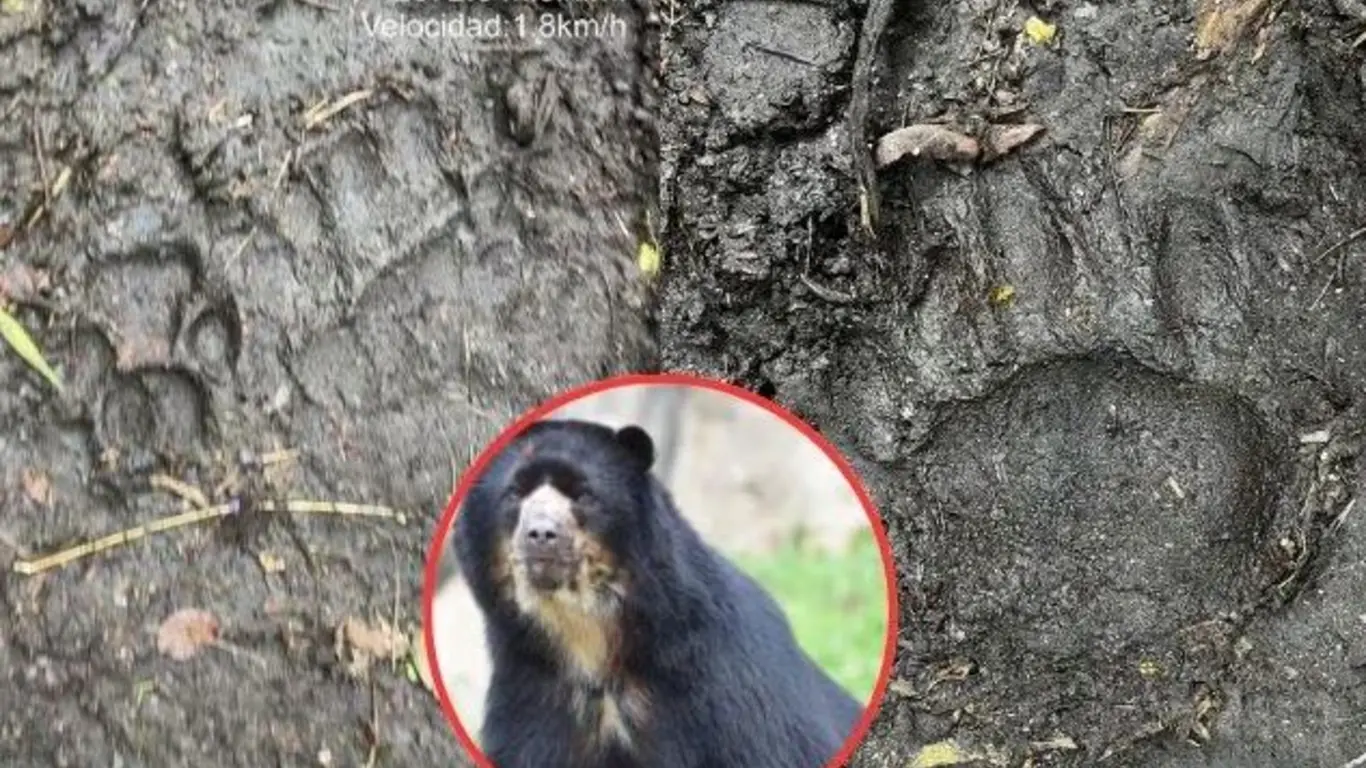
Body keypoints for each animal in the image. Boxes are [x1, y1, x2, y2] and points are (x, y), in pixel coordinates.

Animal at [452, 418, 865, 768]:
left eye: (583, 494)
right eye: (514, 494)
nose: (540, 534)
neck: (588, 637)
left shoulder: (727, 682)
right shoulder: (533, 694)